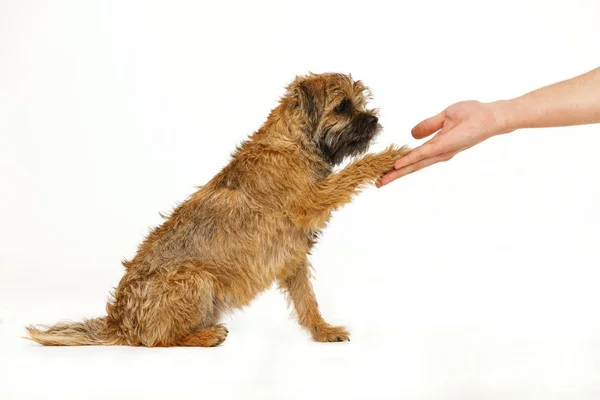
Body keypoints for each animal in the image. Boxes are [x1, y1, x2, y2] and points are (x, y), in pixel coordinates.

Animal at [25, 72, 410, 346]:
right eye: (342, 107)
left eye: (359, 103)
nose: (374, 121)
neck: (293, 144)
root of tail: (119, 321)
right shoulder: (313, 200)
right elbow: (352, 172)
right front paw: (387, 156)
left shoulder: (293, 256)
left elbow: (306, 300)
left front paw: (322, 330)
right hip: (195, 278)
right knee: (155, 341)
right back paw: (205, 335)